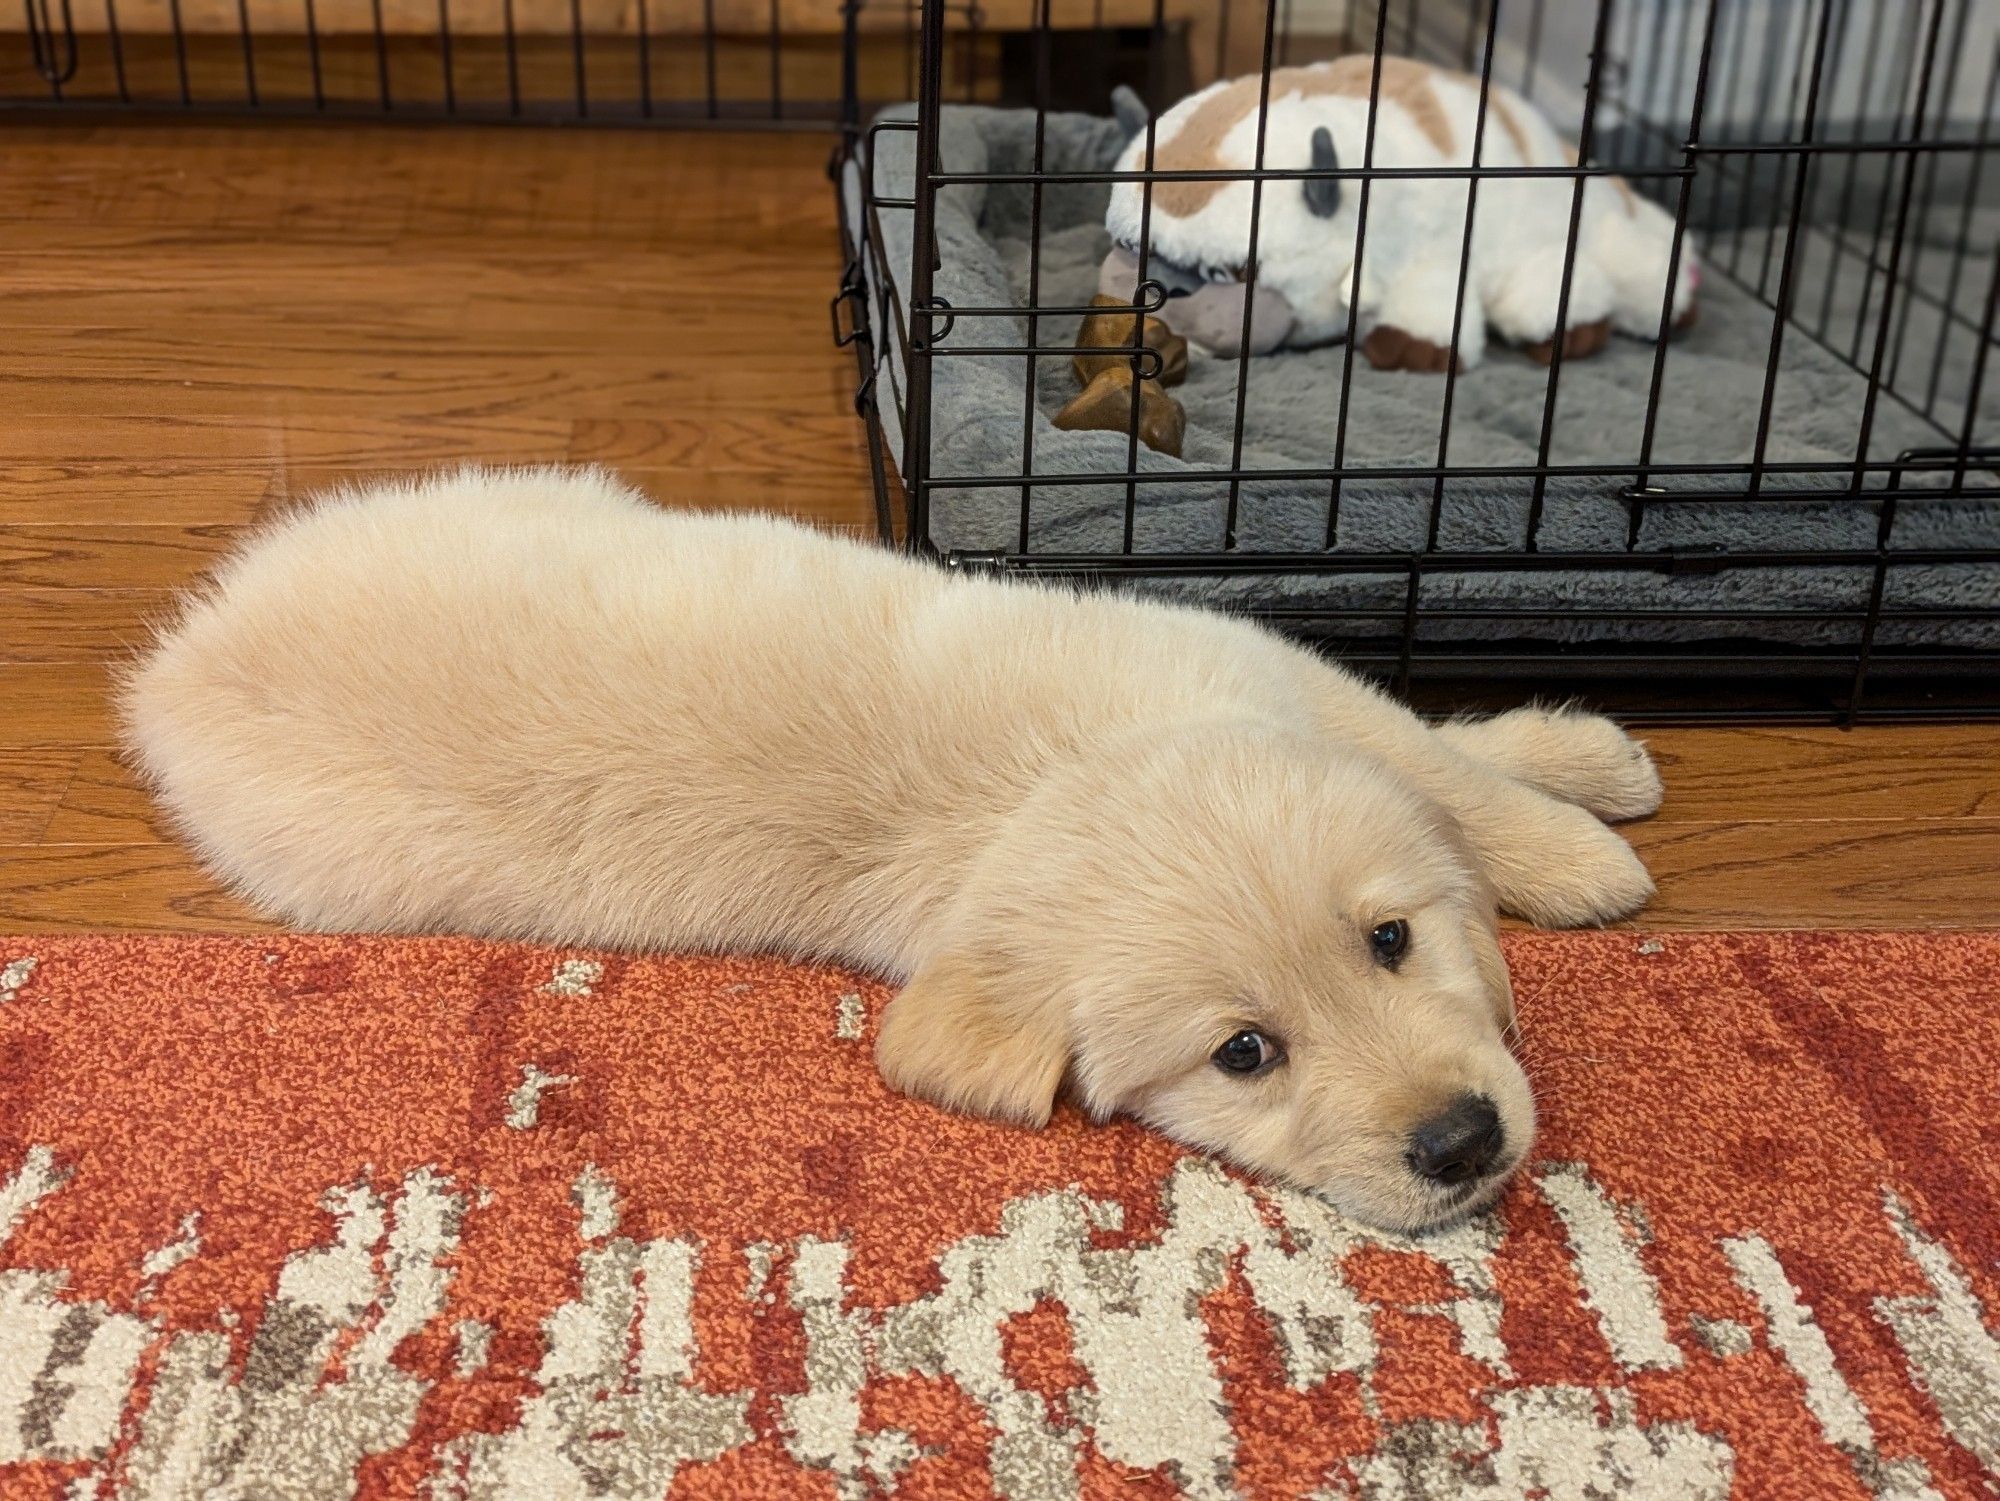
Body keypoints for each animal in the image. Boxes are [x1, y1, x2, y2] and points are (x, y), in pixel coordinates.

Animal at [125, 470, 1656, 1232]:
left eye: (1390, 941)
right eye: (1244, 1055)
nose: (1461, 1143)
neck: (1052, 776)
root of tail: (184, 653)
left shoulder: (1273, 671)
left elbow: (1439, 758)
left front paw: (1575, 793)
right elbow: (1439, 770)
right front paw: (1579, 838)